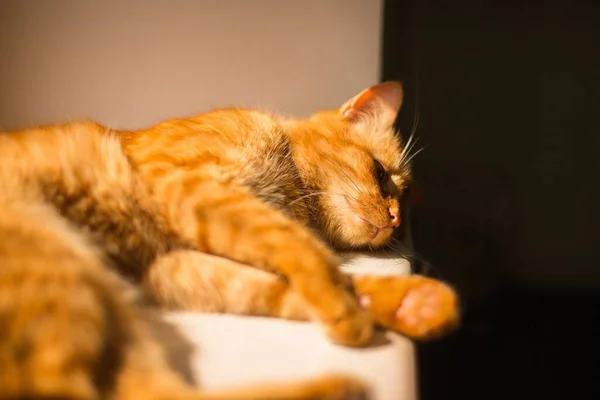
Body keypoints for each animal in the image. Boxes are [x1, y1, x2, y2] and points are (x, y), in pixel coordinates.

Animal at [1, 82, 460, 400]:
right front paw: (346, 310)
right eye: (382, 175)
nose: (396, 219)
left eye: (402, 202)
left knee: (160, 393)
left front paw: (406, 302)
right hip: (59, 268)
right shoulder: (189, 185)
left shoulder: (171, 266)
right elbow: (305, 251)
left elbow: (283, 286)